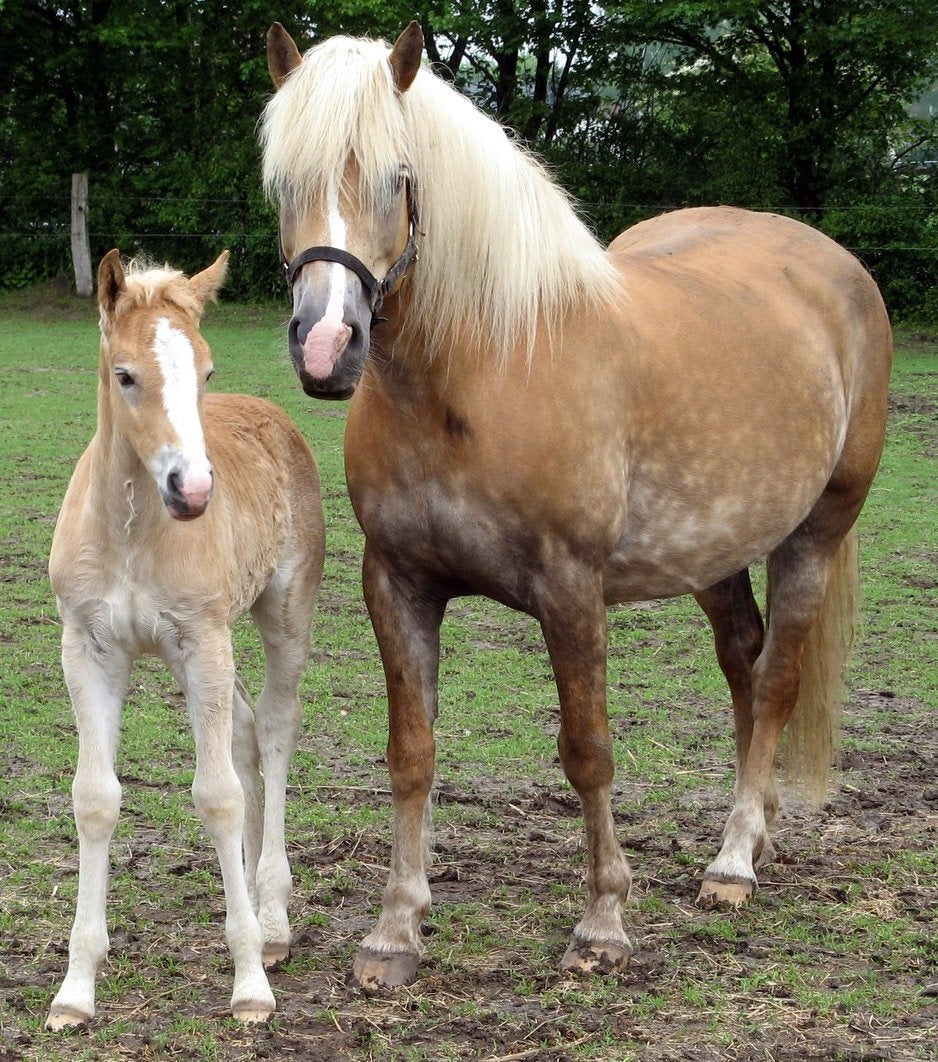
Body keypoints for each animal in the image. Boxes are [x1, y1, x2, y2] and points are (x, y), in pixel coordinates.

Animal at [46, 250, 324, 1027]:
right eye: (125, 375)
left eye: (205, 370)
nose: (193, 490)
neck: (132, 531)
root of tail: (271, 412)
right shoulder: (88, 648)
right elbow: (96, 798)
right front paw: (75, 989)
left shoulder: (202, 638)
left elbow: (218, 796)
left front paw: (249, 983)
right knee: (247, 733)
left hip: (278, 615)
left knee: (277, 729)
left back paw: (274, 921)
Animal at [260, 22, 892, 989]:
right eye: (284, 181)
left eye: (398, 177)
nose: (329, 345)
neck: (481, 371)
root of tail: (834, 266)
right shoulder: (397, 584)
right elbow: (412, 753)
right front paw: (395, 932)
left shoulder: (570, 590)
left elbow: (588, 752)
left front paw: (603, 923)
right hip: (711, 552)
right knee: (745, 665)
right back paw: (759, 833)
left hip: (817, 532)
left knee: (779, 677)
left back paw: (734, 862)